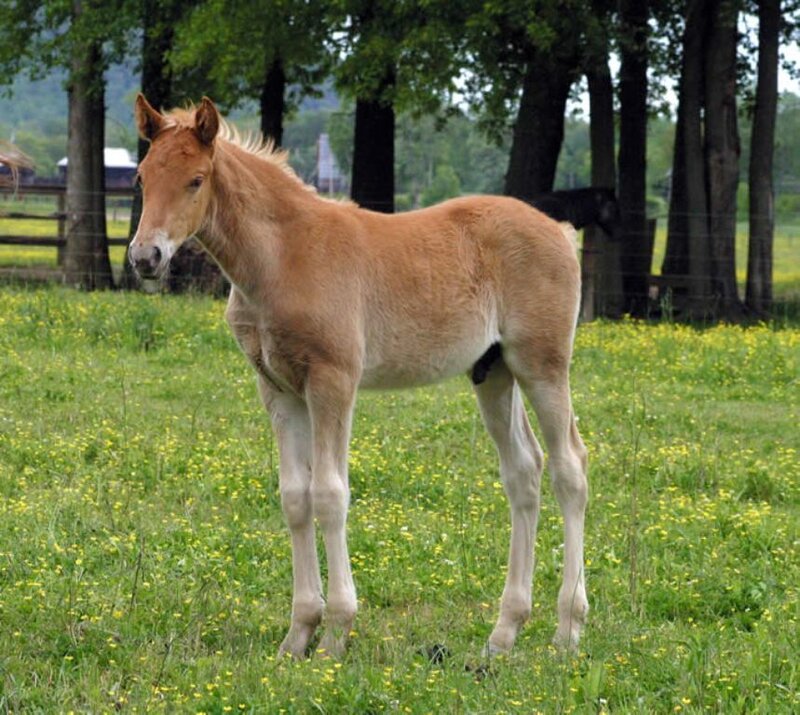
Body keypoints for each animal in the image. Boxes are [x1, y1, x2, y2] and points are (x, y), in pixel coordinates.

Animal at [129, 94, 589, 659]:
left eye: (196, 179)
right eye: (142, 178)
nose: (145, 257)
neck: (283, 257)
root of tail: (561, 231)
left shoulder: (333, 381)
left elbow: (329, 494)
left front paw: (335, 632)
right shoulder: (279, 390)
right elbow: (295, 497)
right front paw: (297, 633)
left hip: (542, 365)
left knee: (569, 468)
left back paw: (568, 629)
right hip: (494, 372)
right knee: (524, 472)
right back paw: (503, 634)